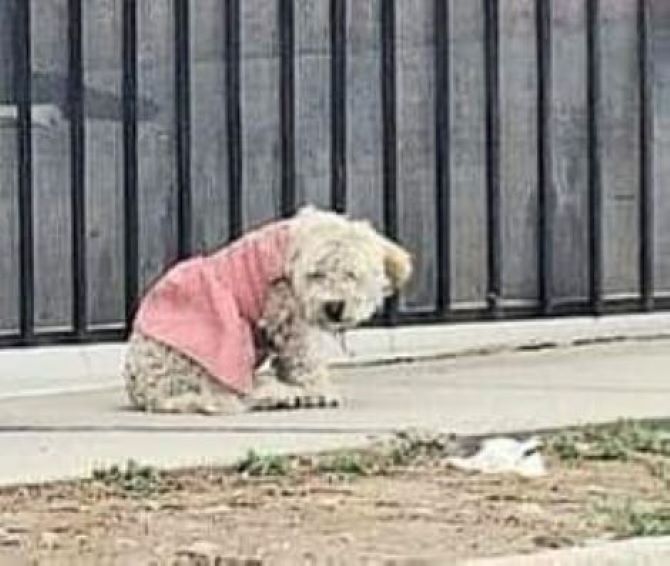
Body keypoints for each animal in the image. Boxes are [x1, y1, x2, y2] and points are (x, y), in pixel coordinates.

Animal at [123, 206, 412, 414]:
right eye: (316, 275)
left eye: (351, 274)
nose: (333, 307)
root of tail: (146, 393)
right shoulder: (287, 312)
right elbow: (305, 356)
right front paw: (319, 390)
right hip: (214, 348)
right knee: (231, 393)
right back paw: (278, 395)